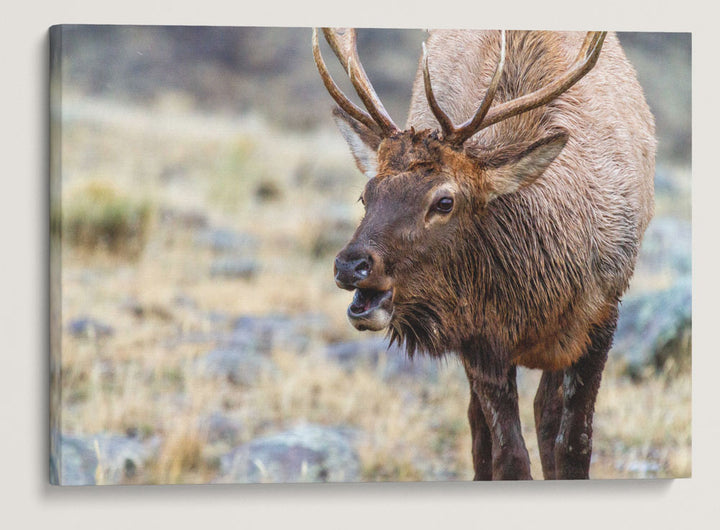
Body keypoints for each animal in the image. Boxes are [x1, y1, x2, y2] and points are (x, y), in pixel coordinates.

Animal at [312, 26, 656, 476]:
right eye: (366, 194)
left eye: (444, 201)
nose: (350, 265)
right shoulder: (477, 335)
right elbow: (507, 456)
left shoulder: (603, 314)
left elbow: (574, 445)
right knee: (480, 431)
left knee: (544, 413)